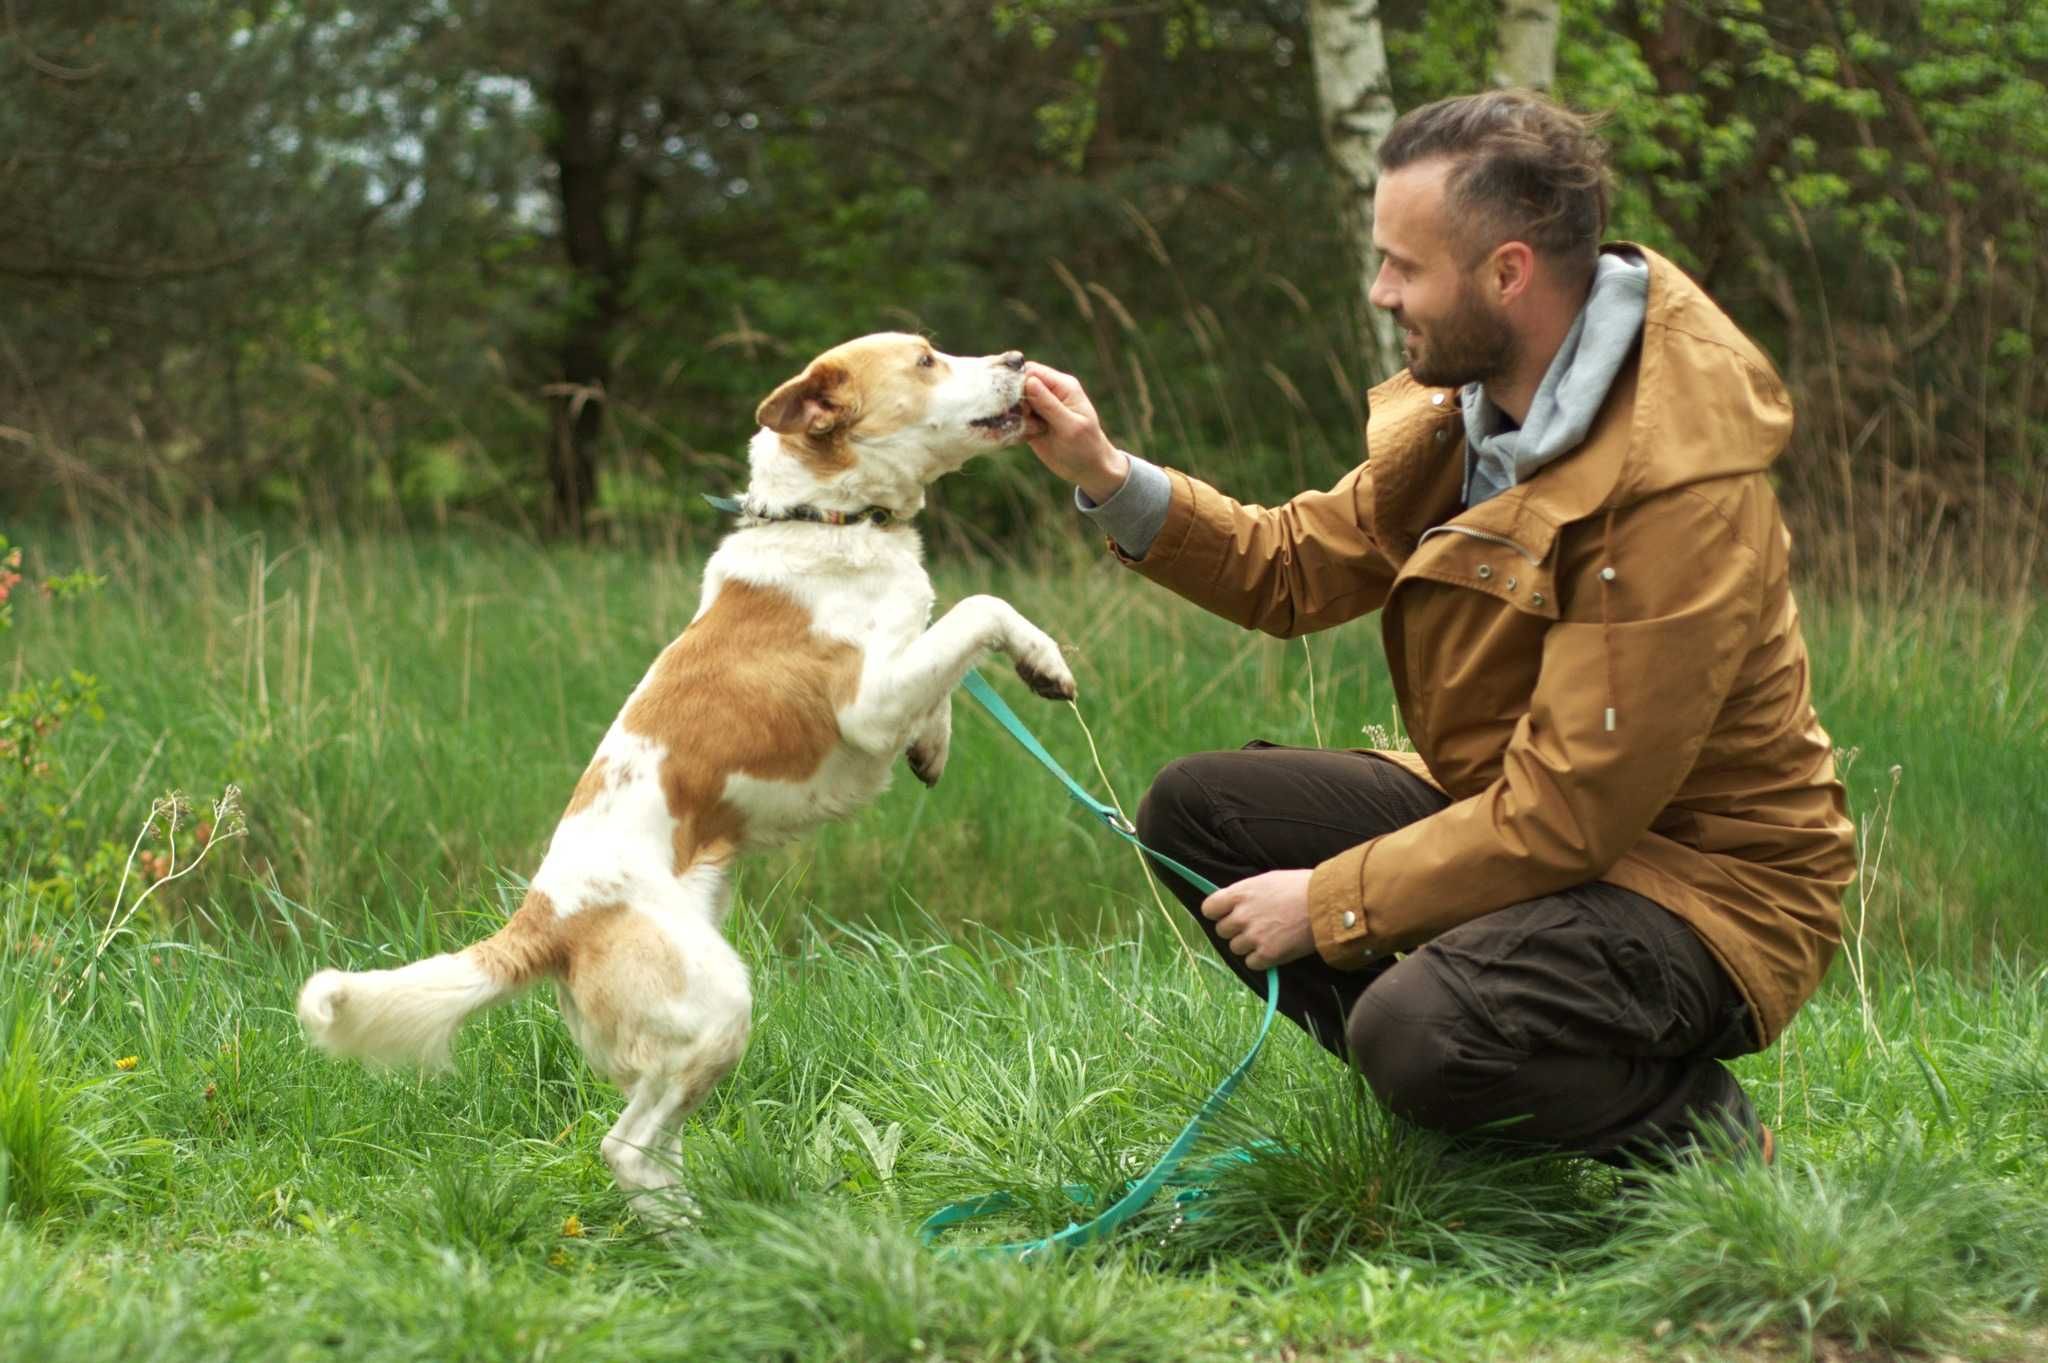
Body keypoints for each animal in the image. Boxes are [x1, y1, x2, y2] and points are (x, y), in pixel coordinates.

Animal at [301, 333, 1081, 1227]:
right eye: (924, 360)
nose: (1018, 357)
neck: (829, 518)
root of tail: (547, 916)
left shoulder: (902, 678)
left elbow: (951, 655)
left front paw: (937, 743)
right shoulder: (869, 702)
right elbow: (980, 608)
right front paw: (1043, 662)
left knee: (652, 1145)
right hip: (719, 1007)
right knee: (626, 1145)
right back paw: (703, 1238)